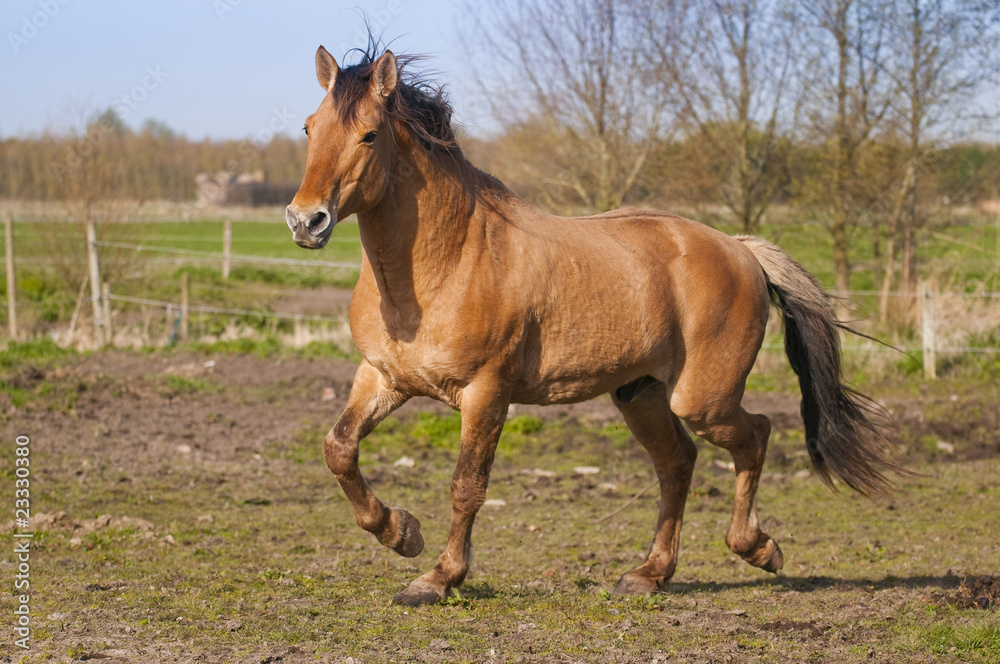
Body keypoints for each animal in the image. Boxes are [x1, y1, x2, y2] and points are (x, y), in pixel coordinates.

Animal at [284, 42, 900, 608]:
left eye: (368, 135)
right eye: (310, 127)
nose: (305, 221)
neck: (449, 261)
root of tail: (740, 249)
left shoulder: (486, 393)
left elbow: (467, 486)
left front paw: (436, 579)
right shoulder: (384, 377)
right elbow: (339, 449)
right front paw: (401, 532)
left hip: (702, 399)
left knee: (757, 435)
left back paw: (759, 549)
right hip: (641, 395)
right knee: (678, 462)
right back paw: (649, 574)